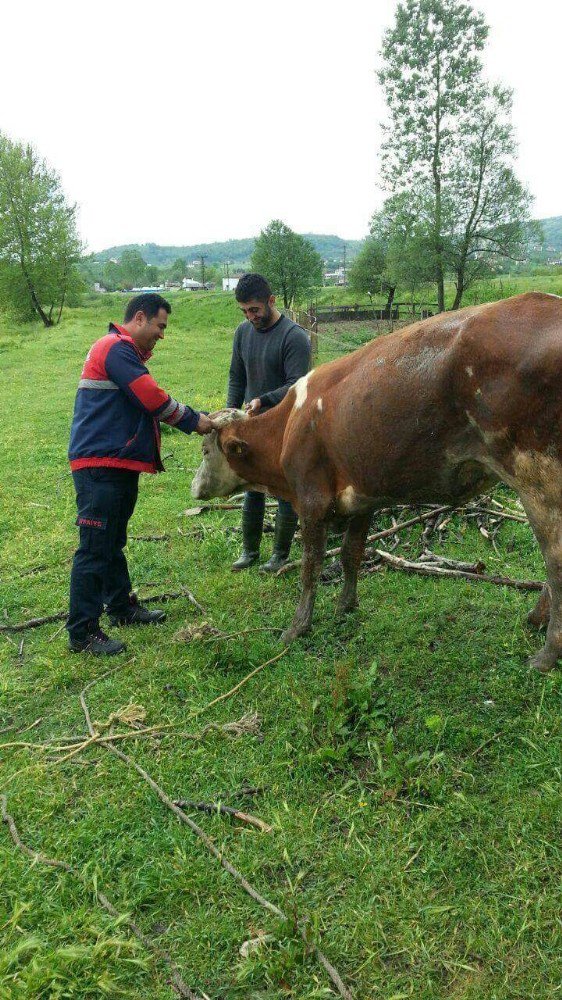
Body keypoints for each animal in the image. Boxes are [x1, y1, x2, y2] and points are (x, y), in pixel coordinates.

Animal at [191, 292, 560, 676]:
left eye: (205, 450)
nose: (194, 487)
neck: (292, 423)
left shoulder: (312, 500)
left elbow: (310, 566)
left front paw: (297, 628)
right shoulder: (361, 499)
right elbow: (351, 553)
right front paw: (346, 606)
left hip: (537, 480)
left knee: (556, 562)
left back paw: (546, 655)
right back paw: (535, 620)